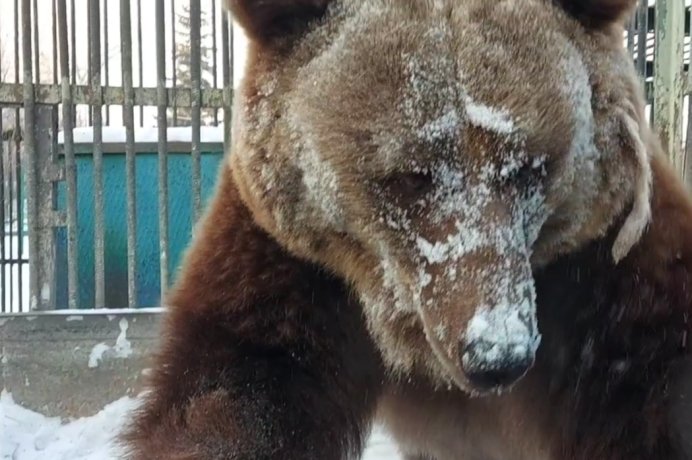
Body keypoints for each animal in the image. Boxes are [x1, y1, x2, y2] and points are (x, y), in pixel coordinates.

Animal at [121, 0, 692, 460]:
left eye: (531, 167)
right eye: (411, 176)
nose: (497, 355)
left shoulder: (602, 270)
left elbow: (649, 384)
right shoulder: (293, 265)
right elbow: (235, 393)